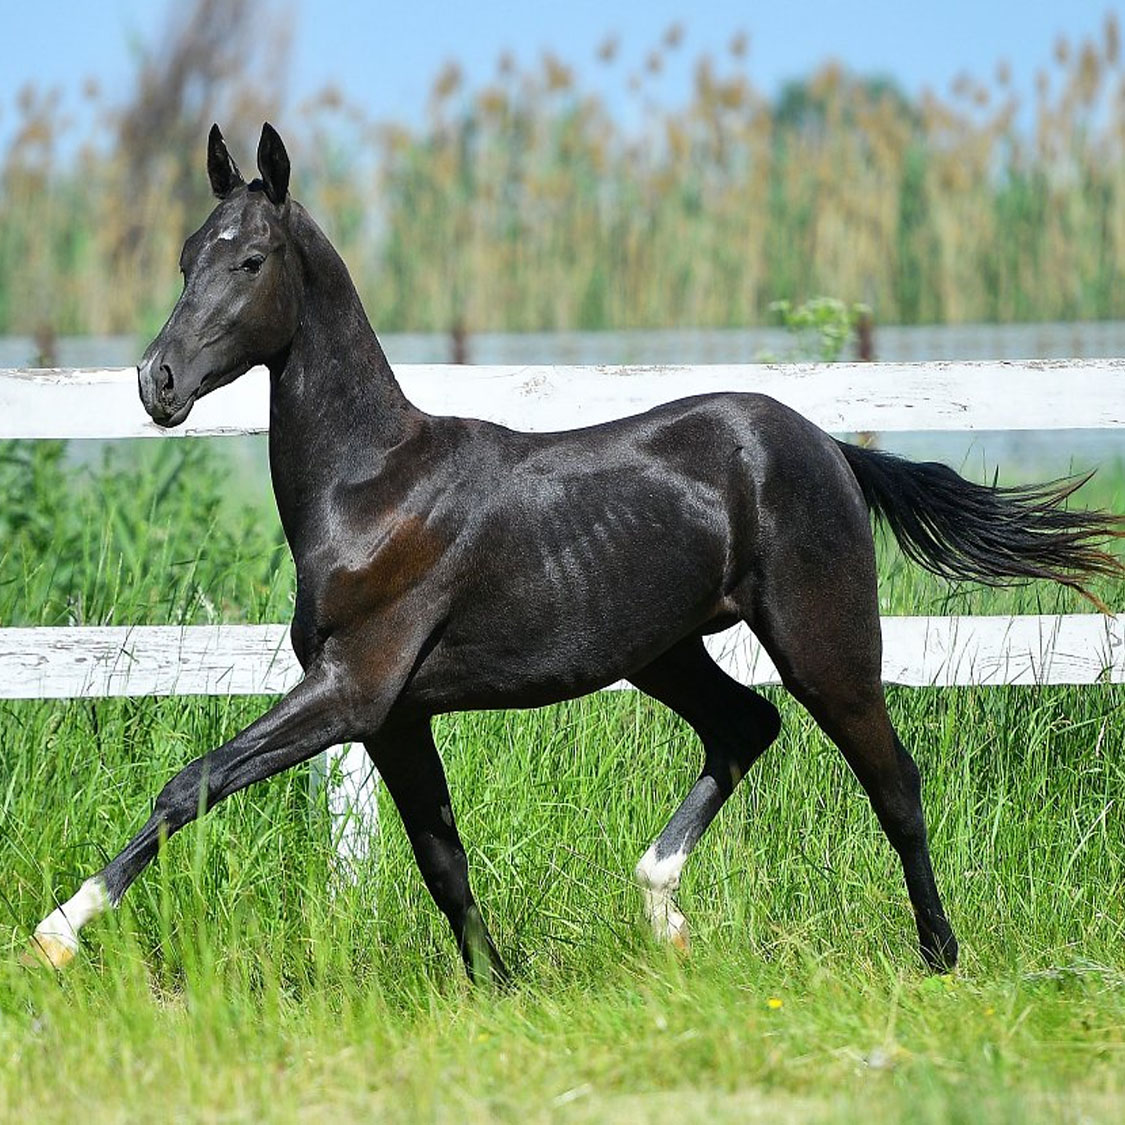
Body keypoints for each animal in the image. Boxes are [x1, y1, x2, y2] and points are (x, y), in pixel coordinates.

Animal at [28, 125, 1125, 985]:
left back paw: (938, 955)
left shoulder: (353, 690)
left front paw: (58, 931)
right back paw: (662, 908)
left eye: (249, 260)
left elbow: (193, 782)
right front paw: (500, 984)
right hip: (663, 649)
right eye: (185, 256)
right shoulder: (395, 716)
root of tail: (824, 444)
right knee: (746, 725)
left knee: (891, 778)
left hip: (824, 638)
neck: (374, 492)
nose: (157, 383)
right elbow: (441, 857)